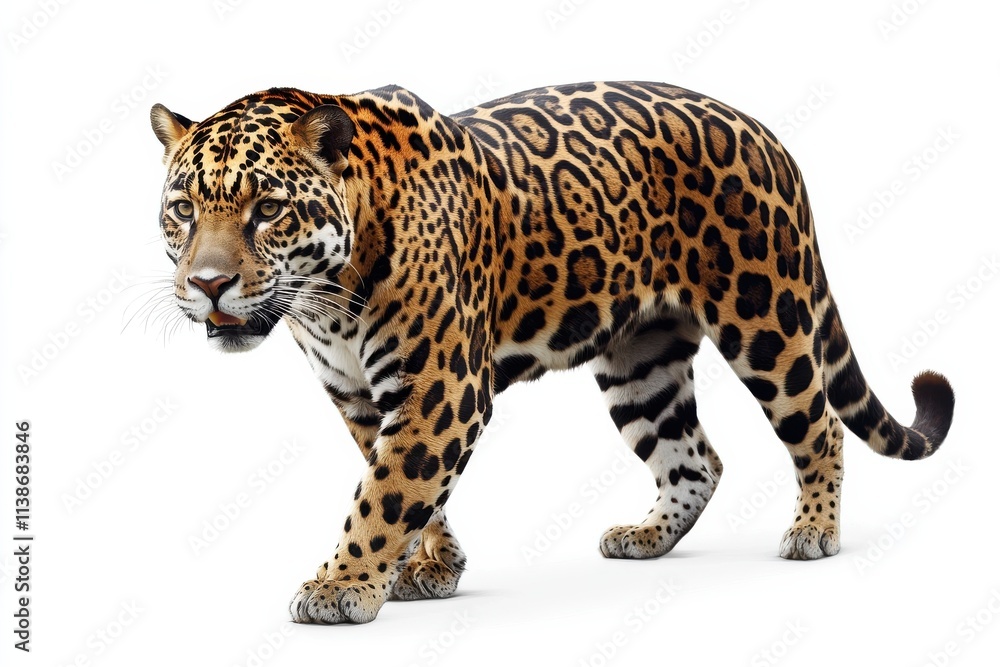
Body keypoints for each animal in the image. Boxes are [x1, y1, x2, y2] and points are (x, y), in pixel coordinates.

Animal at [150, 80, 955, 625]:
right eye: (183, 209)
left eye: (268, 210)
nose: (208, 285)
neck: (324, 296)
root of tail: (765, 132)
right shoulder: (359, 396)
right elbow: (409, 490)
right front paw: (433, 566)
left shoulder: (440, 388)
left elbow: (388, 491)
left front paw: (340, 585)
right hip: (640, 360)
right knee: (695, 458)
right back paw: (645, 537)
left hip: (766, 319)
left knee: (818, 426)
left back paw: (814, 530)